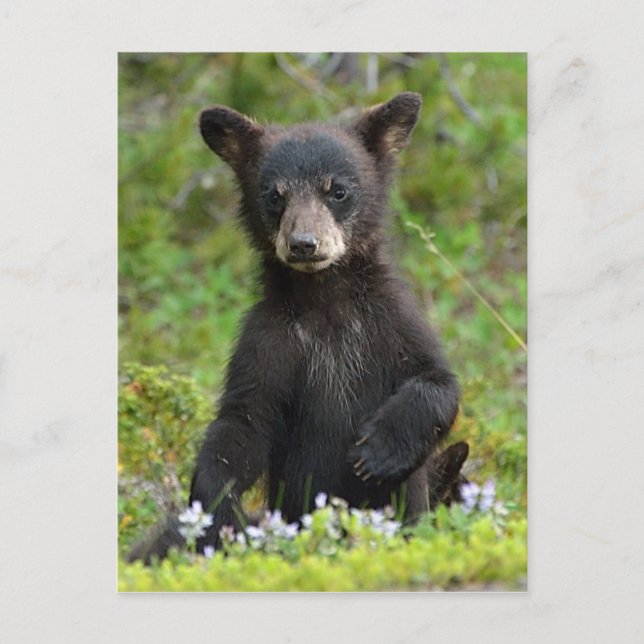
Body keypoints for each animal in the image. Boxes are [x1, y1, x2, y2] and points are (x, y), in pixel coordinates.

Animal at [128, 92, 462, 562]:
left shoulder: (391, 319)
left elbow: (437, 383)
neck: (326, 302)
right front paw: (215, 511)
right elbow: (243, 420)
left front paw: (378, 450)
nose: (304, 244)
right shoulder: (267, 340)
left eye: (337, 190)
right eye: (274, 195)